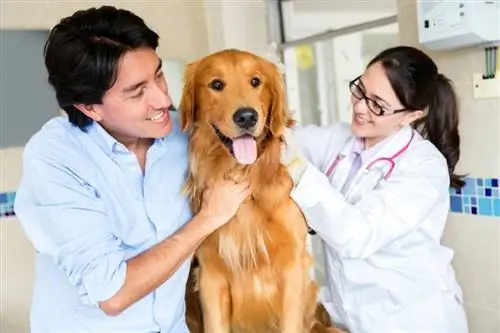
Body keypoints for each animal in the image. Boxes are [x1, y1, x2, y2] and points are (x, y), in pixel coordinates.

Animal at [180, 47, 348, 332]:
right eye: (216, 84)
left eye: (256, 81)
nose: (247, 116)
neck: (244, 176)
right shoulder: (211, 275)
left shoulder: (293, 267)